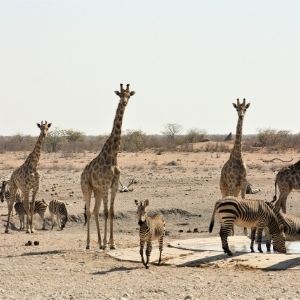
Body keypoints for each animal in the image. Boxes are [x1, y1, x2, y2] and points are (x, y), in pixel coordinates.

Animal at [80, 83, 135, 250]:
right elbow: (105, 212)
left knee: (95, 211)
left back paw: (99, 242)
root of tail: (82, 173)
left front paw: (112, 243)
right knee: (90, 212)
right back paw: (89, 244)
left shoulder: (114, 185)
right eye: (120, 95)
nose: (124, 102)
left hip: (97, 190)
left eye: (129, 95)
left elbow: (111, 212)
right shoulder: (105, 185)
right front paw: (106, 243)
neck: (113, 155)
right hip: (87, 187)